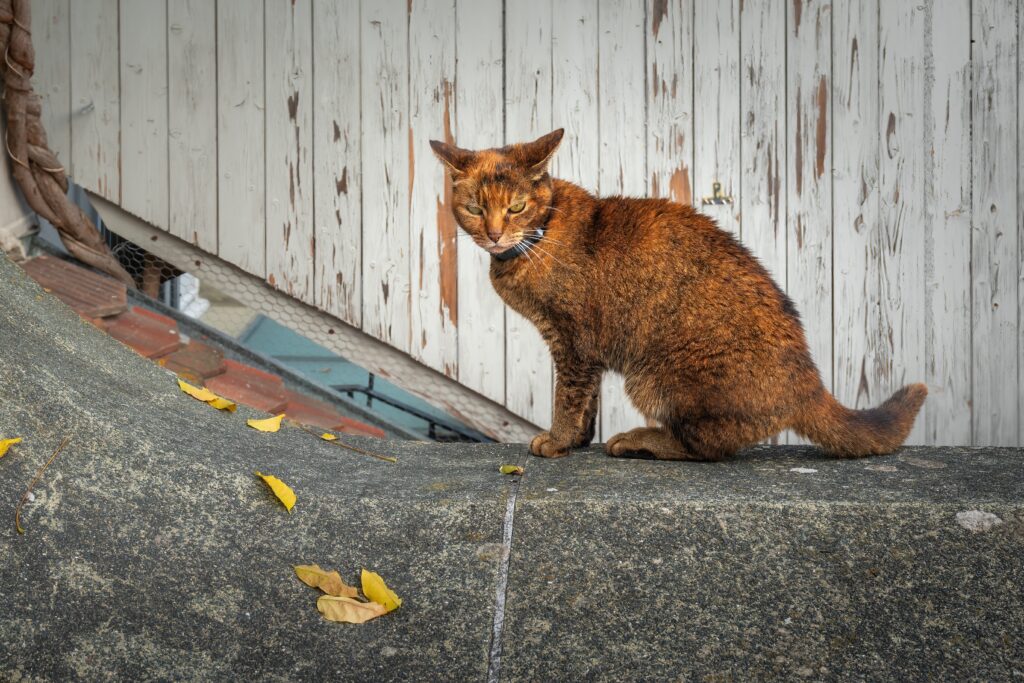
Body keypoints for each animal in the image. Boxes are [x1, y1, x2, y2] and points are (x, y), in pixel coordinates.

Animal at [428, 127, 925, 458]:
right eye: (474, 209)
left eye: (516, 207)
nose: (494, 235)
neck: (541, 235)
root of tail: (809, 382)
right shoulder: (583, 349)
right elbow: (588, 400)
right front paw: (579, 440)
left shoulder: (574, 342)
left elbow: (567, 397)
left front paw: (557, 440)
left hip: (652, 377)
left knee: (708, 446)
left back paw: (637, 441)